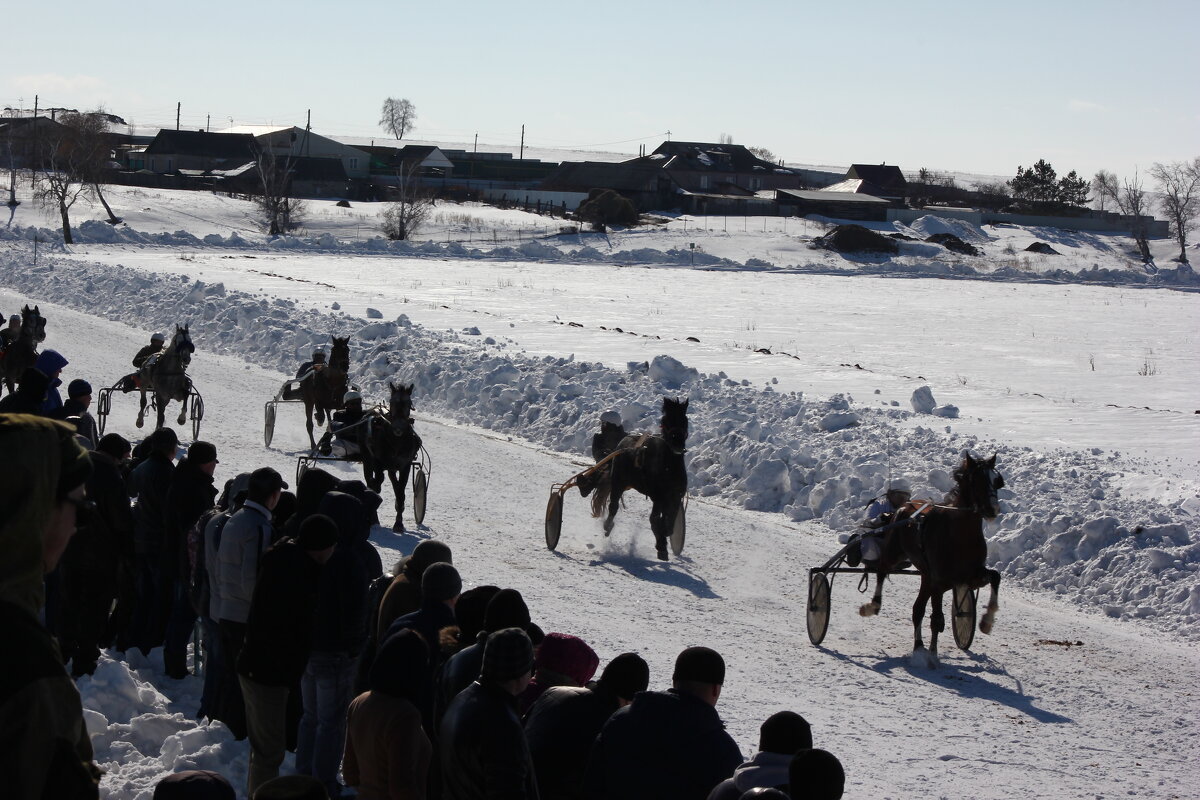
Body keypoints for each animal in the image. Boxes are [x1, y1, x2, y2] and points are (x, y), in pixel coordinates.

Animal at [360, 383, 422, 534]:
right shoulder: (379, 461)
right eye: (392, 401)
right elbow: (377, 481)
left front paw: (399, 523)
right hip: (367, 458)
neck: (397, 441)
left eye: (408, 403)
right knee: (370, 479)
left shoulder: (404, 466)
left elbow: (400, 492)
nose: (398, 428)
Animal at [588, 398, 691, 561]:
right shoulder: (658, 497)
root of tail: (623, 441)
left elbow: (668, 523)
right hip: (618, 482)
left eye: (684, 420)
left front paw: (664, 540)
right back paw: (608, 526)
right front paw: (661, 546)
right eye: (666, 420)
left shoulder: (675, 496)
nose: (677, 444)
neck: (669, 466)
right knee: (613, 506)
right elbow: (655, 520)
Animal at [864, 453, 1003, 666]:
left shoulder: (972, 576)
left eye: (996, 481)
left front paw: (986, 621)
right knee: (882, 570)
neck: (961, 535)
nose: (992, 509)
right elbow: (937, 619)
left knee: (917, 609)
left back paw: (918, 646)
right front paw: (932, 656)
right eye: (977, 480)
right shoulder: (939, 581)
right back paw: (873, 606)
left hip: (925, 575)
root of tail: (905, 506)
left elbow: (995, 576)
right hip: (894, 553)